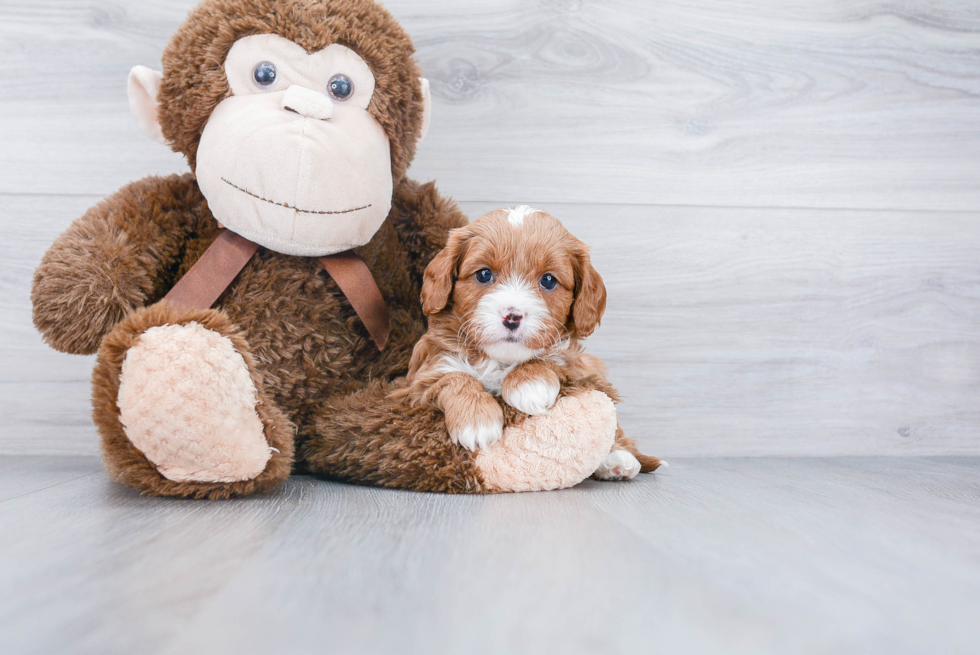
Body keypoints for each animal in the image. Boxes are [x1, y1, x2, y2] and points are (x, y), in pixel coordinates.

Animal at [394, 206, 664, 482]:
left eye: (548, 280)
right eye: (484, 274)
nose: (512, 317)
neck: (501, 361)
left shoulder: (578, 366)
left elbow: (553, 358)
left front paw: (529, 384)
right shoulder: (417, 382)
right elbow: (454, 377)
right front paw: (477, 421)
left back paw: (617, 460)